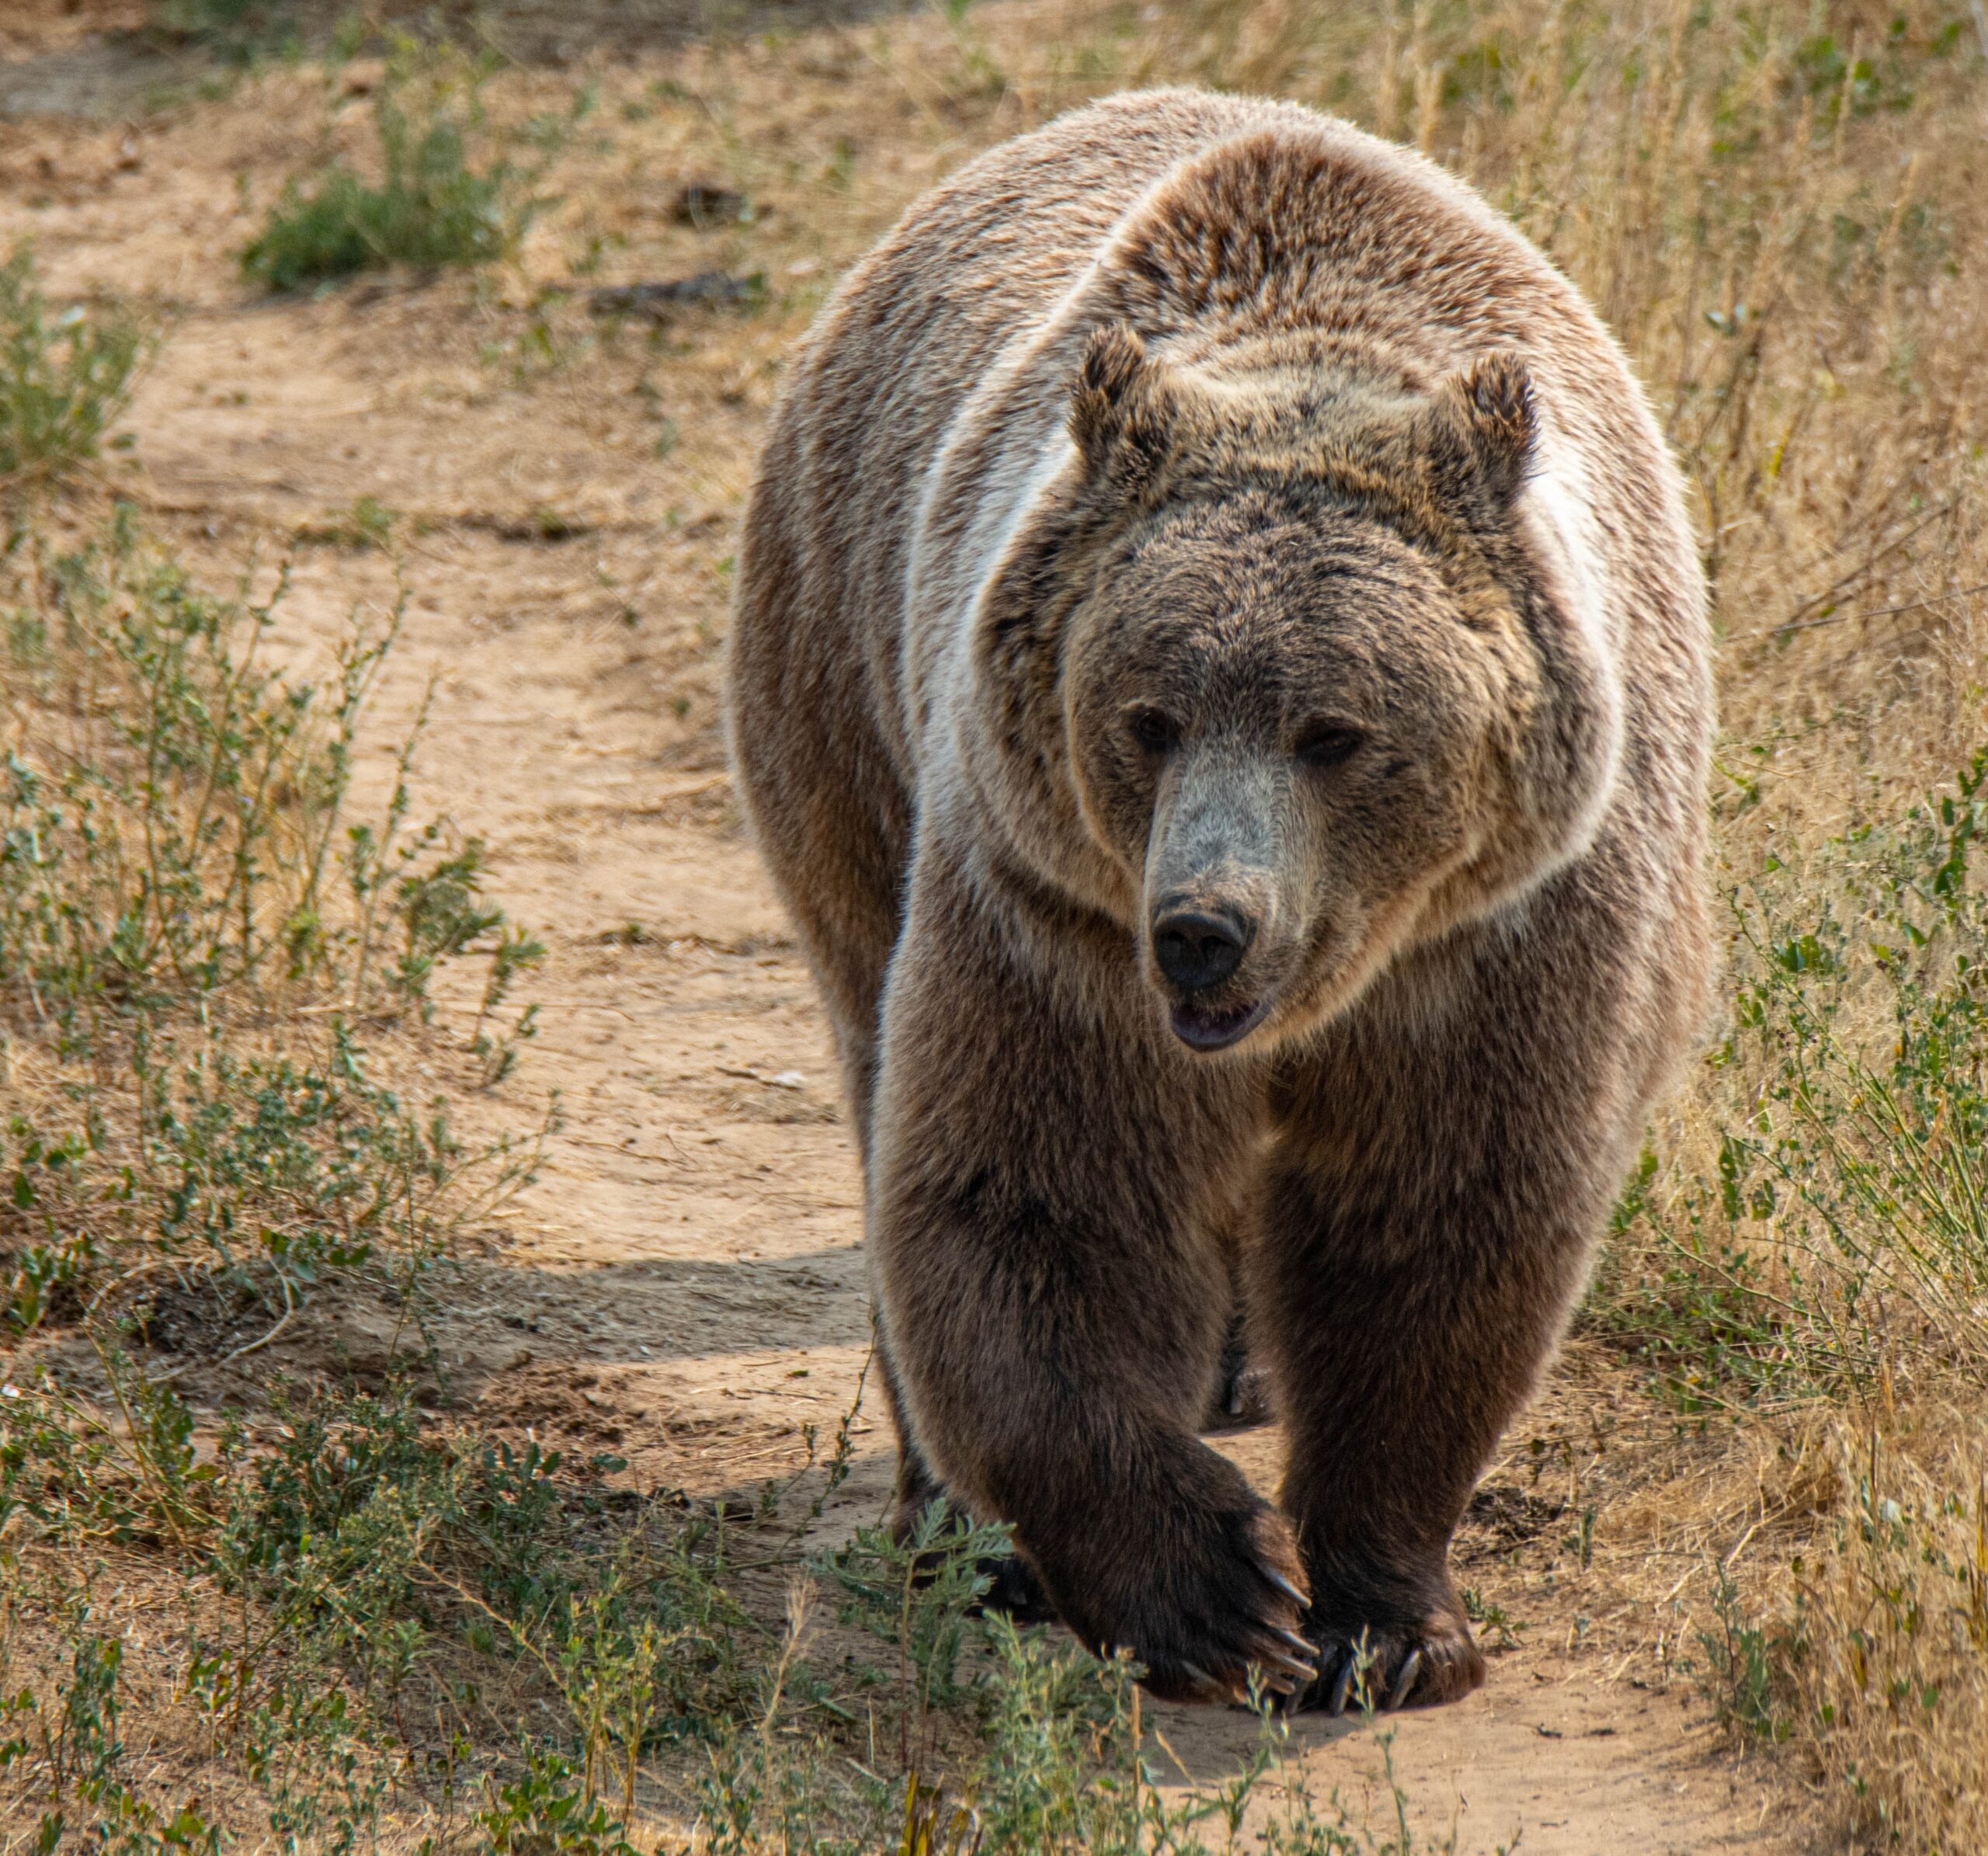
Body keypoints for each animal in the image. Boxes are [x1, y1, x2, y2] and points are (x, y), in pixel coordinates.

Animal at [728, 88, 1712, 1712]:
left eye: (1337, 731)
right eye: (1149, 716)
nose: (1202, 928)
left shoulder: (1514, 931)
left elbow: (1438, 1222)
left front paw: (1389, 1619)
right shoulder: (1051, 911)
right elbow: (1035, 1197)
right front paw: (1214, 1595)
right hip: (844, 687)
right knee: (875, 1057)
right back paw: (958, 1534)